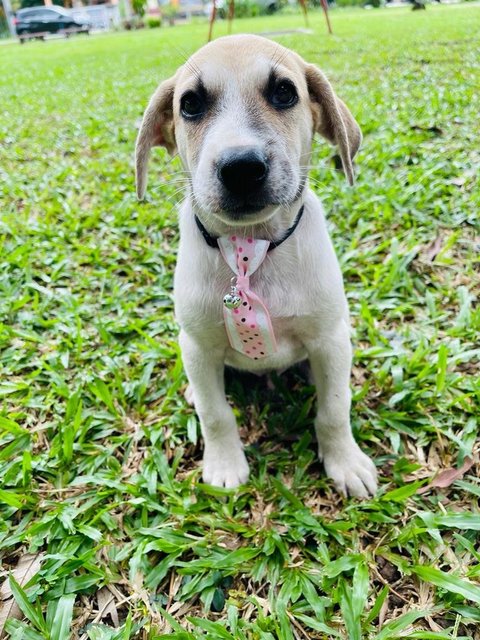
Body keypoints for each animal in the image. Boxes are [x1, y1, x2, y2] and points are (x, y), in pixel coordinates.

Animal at [133, 32, 376, 498]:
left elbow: (334, 409)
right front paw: (225, 463)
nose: (241, 167)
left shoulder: (330, 338)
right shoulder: (198, 345)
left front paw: (345, 461)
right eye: (190, 103)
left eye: (284, 92)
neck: (252, 250)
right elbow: (215, 414)